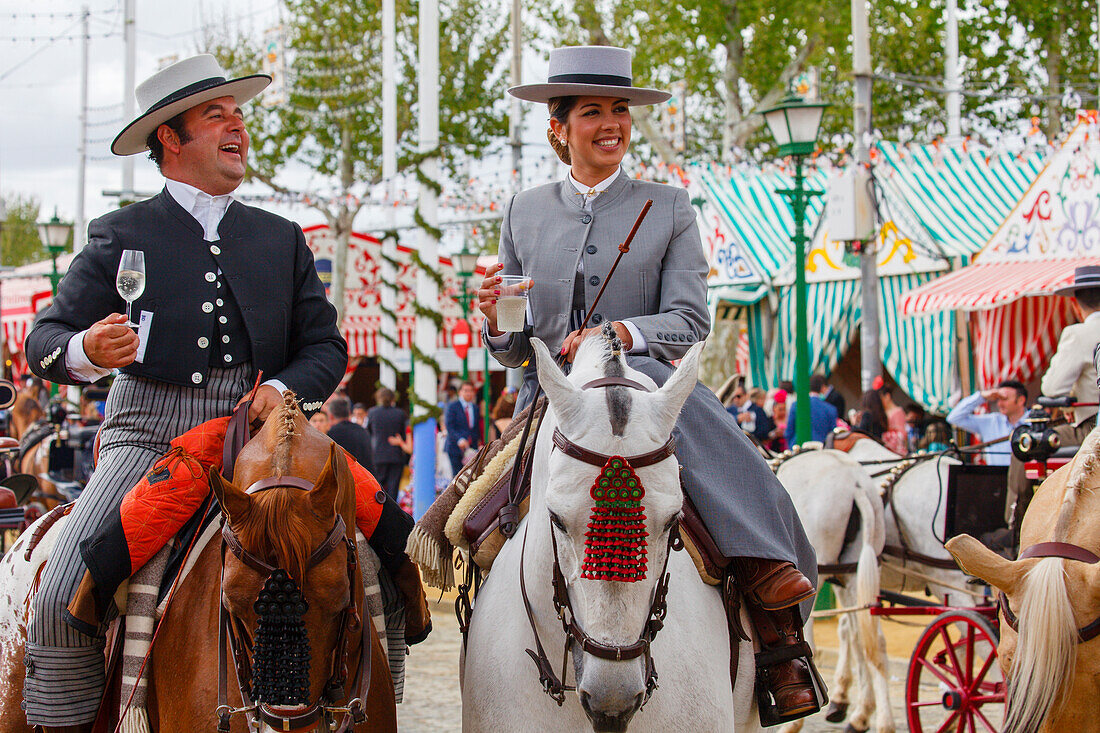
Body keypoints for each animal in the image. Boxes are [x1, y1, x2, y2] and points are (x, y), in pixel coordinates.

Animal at [774, 444, 893, 730]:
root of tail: (856, 482)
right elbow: (854, 635)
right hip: (855, 571)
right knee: (874, 642)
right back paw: (877, 719)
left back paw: (794, 722)